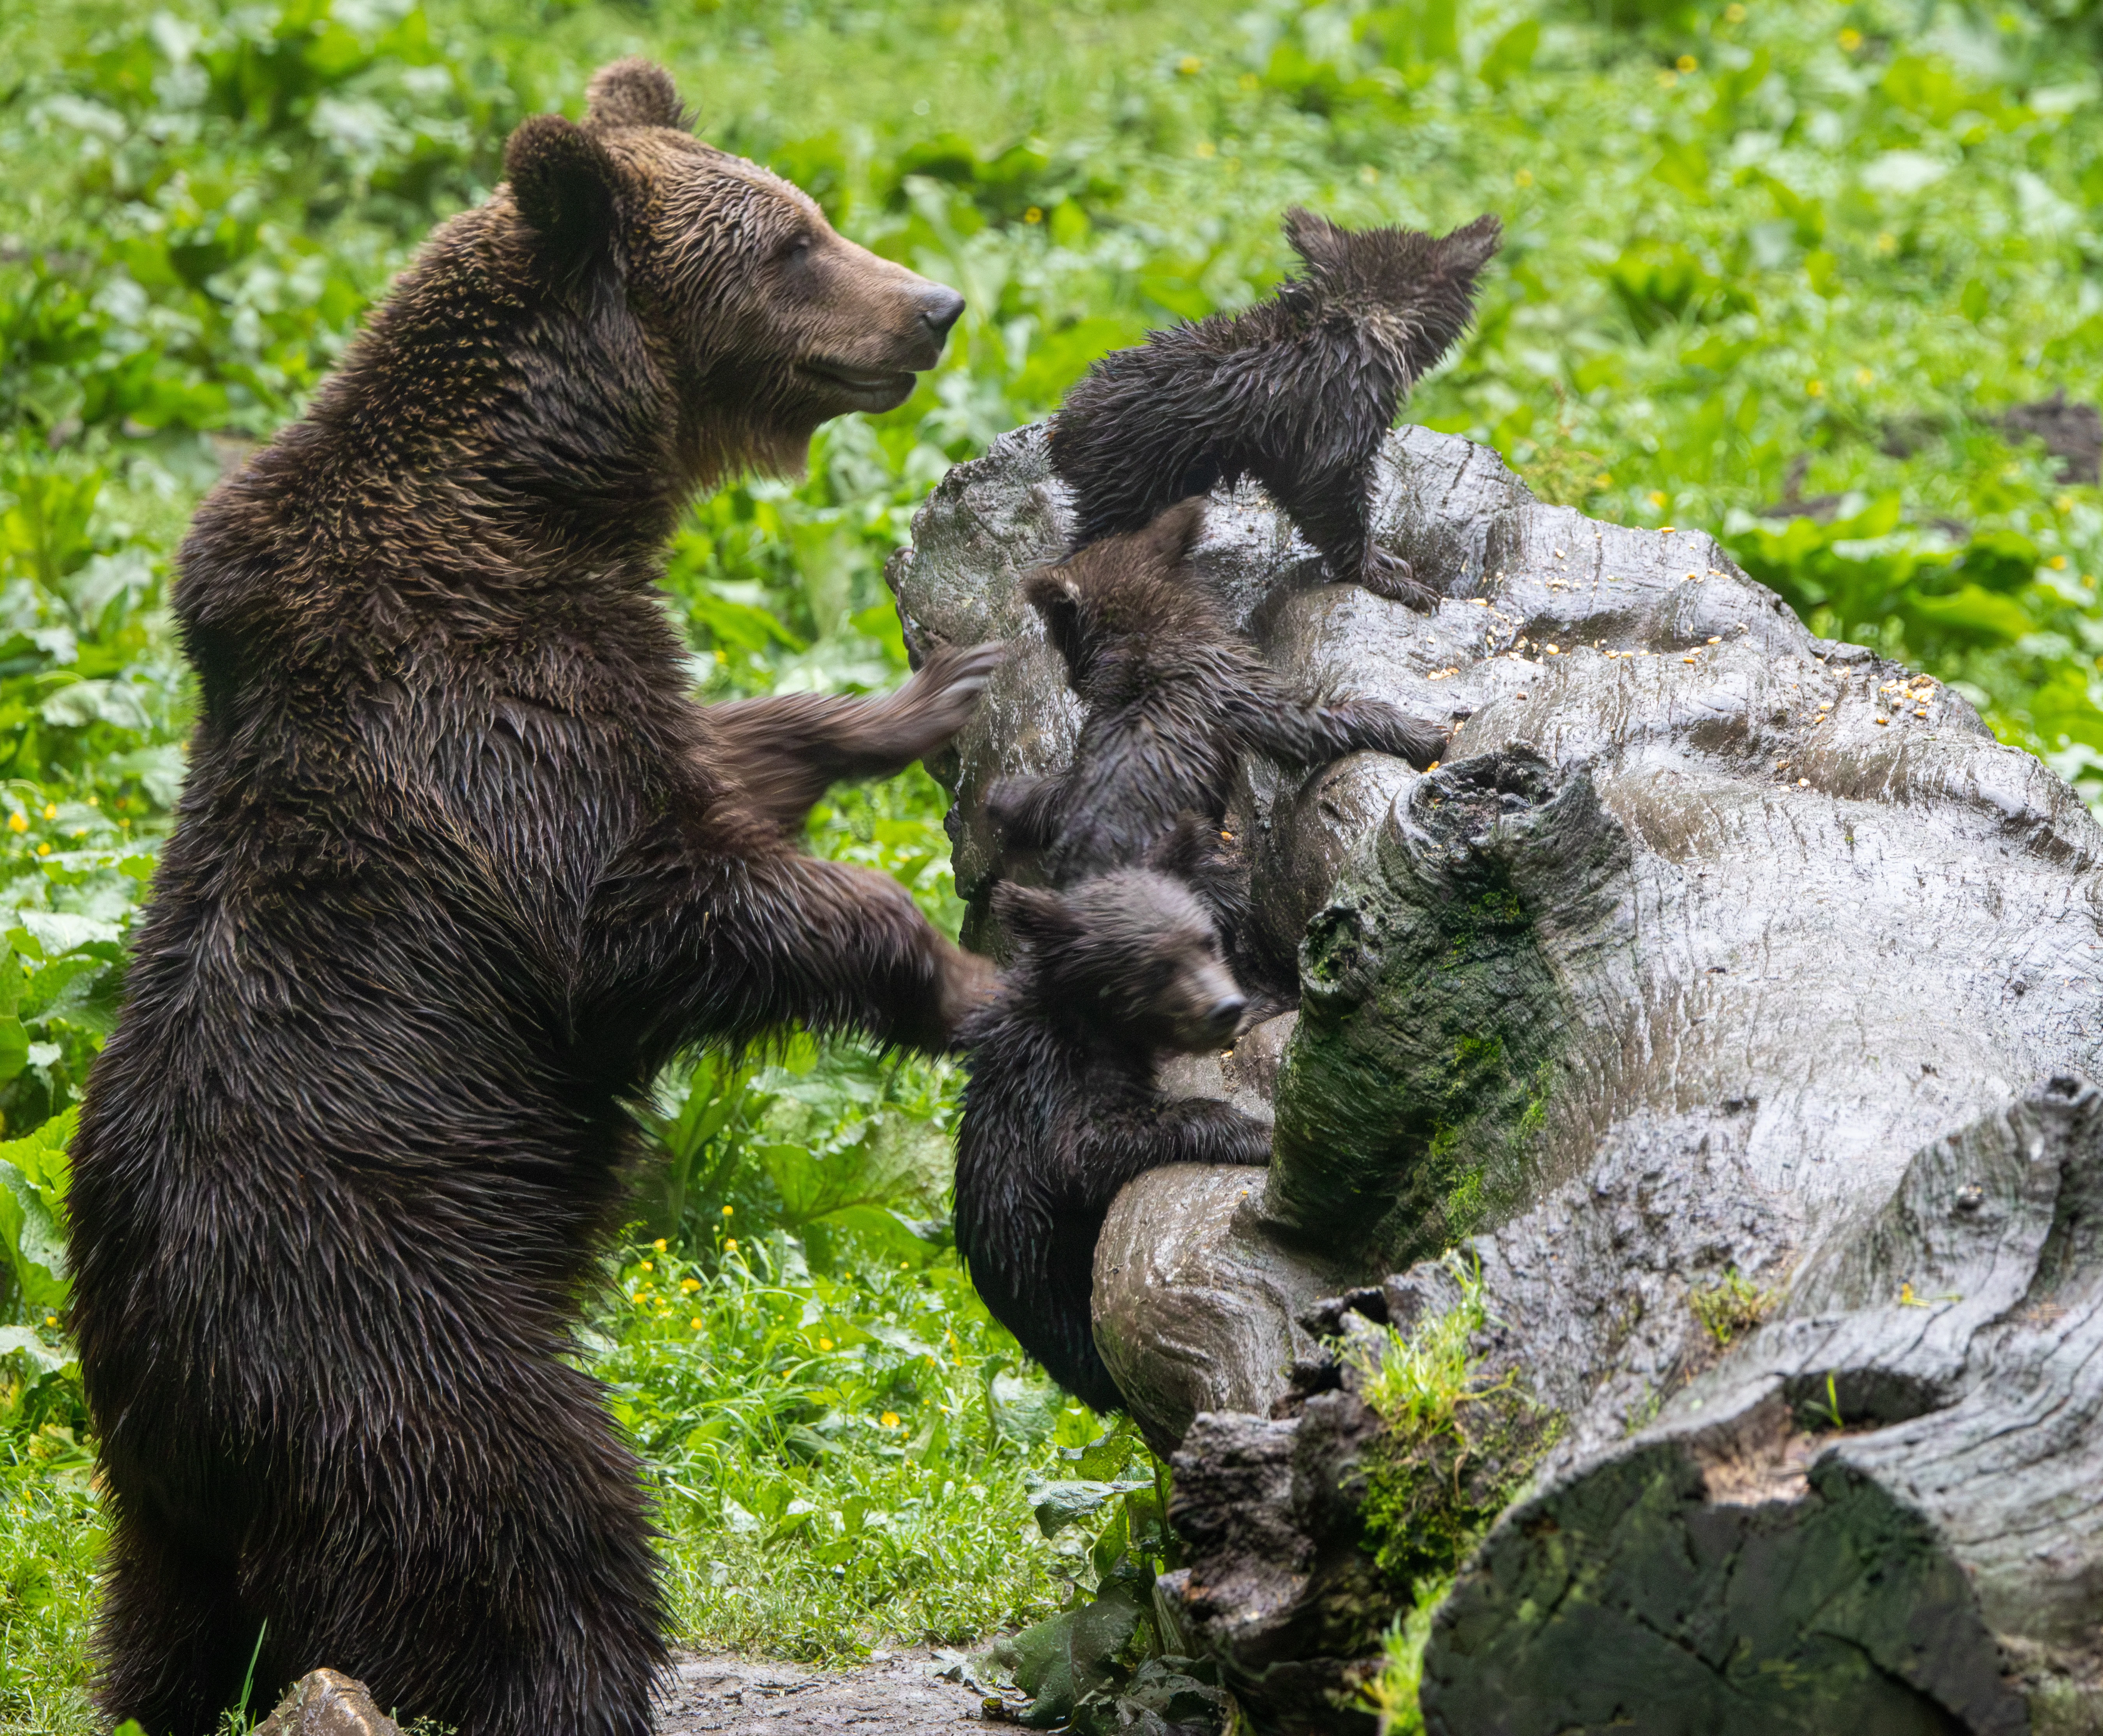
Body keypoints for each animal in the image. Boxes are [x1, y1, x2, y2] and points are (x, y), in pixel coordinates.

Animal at [67, 57, 991, 1736]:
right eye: (789, 245)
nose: (934, 305)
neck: (536, 504)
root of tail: (161, 1386)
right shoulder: (482, 731)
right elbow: (658, 919)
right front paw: (964, 975)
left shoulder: (610, 678)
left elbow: (734, 758)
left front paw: (923, 693)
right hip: (391, 1334)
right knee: (533, 1522)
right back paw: (578, 1677)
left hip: (158, 1502)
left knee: (169, 1629)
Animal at [953, 871, 1273, 1413]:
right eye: (1157, 965)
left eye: (1207, 941)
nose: (1224, 1008)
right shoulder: (1052, 1087)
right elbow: (1086, 1151)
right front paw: (1256, 1133)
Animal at [1047, 208, 1502, 611]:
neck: (1353, 329)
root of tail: (1063, 433)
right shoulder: (1334, 433)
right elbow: (1335, 510)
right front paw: (1384, 577)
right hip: (1129, 484)